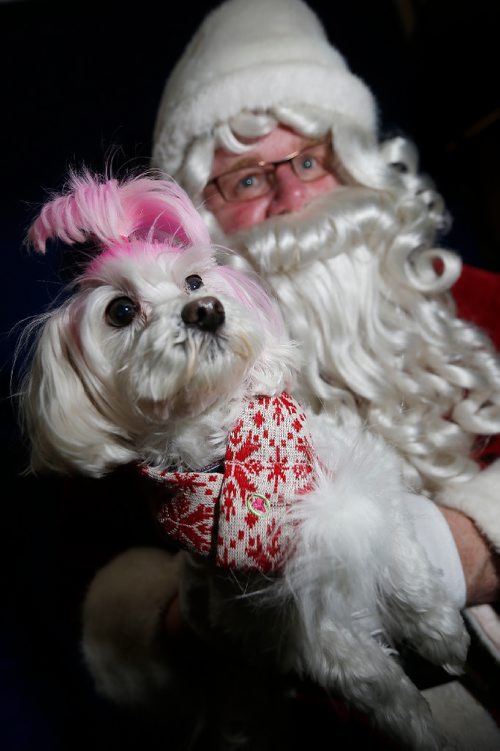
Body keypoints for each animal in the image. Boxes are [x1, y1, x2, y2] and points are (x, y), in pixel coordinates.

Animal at [21, 172, 468, 751]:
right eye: (120, 310)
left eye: (194, 281)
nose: (206, 309)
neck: (235, 455)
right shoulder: (277, 614)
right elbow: (362, 671)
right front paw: (415, 726)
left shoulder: (361, 480)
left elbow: (406, 564)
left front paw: (441, 631)